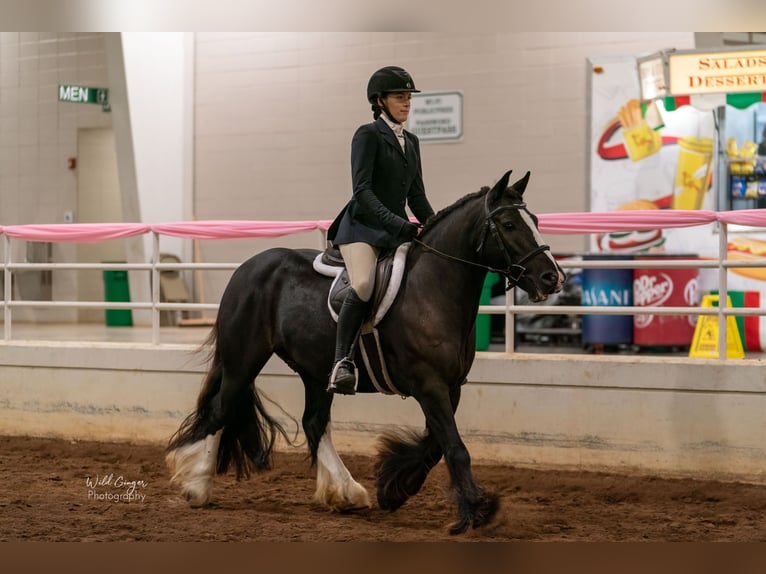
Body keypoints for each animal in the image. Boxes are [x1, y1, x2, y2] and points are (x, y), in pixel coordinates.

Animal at [168, 170, 564, 536]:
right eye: (509, 224)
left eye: (536, 220)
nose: (552, 278)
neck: (434, 289)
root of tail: (247, 268)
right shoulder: (429, 385)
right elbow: (454, 447)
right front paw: (477, 511)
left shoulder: (450, 387)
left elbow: (436, 445)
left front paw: (394, 488)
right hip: (243, 360)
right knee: (222, 409)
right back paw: (197, 487)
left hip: (315, 370)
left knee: (314, 422)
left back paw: (345, 493)